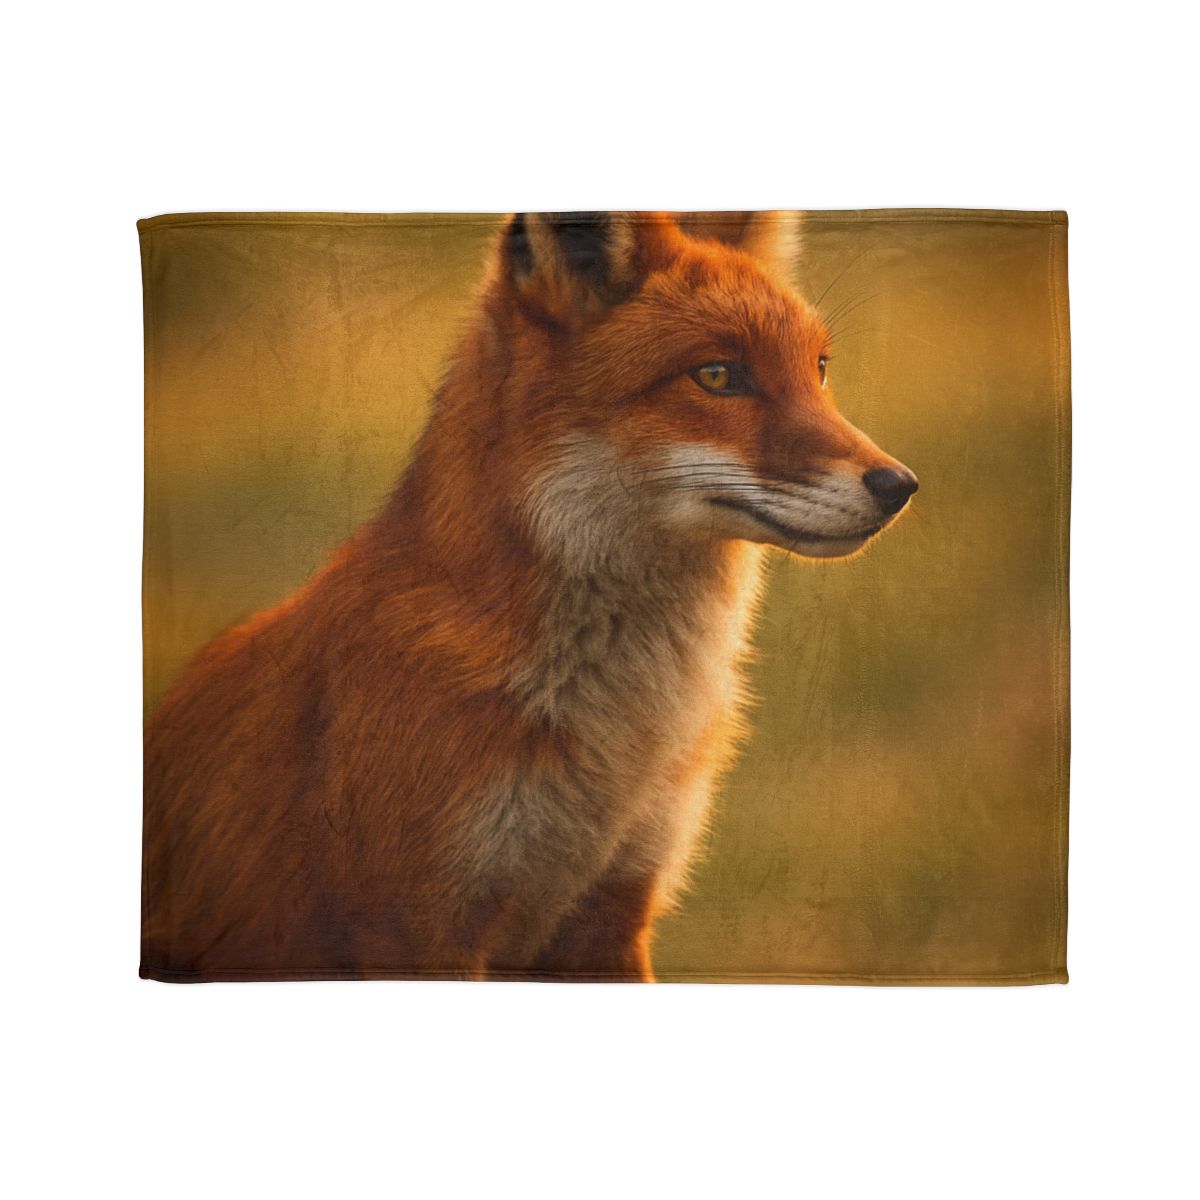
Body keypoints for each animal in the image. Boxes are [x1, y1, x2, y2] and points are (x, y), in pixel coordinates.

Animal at [141, 211, 918, 982]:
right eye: (719, 375)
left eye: (820, 368)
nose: (900, 486)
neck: (619, 736)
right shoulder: (415, 927)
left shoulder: (613, 913)